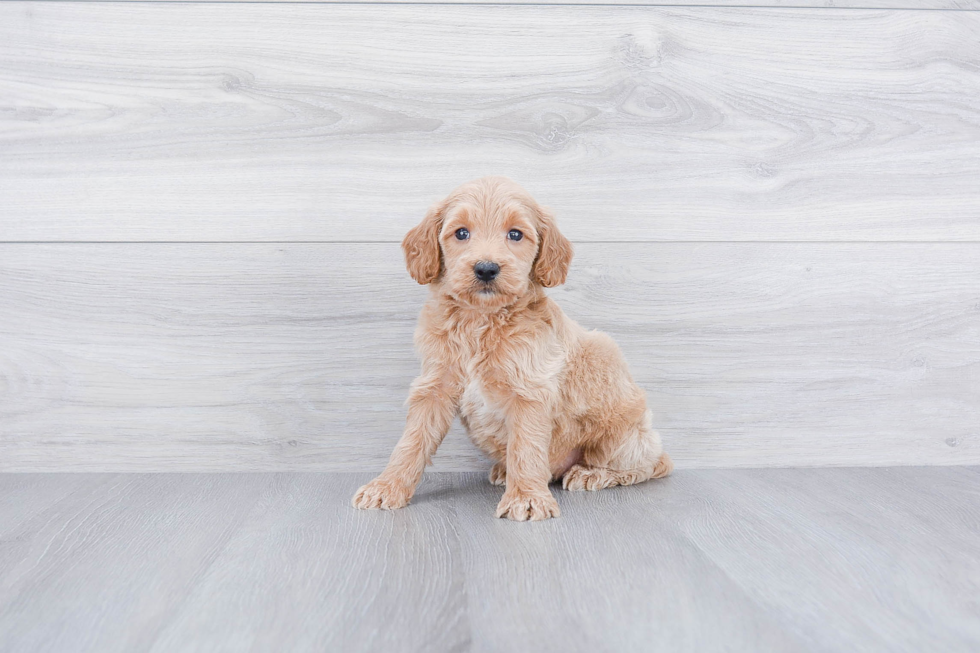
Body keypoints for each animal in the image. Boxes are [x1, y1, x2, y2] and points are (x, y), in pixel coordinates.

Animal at [354, 176, 672, 524]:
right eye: (461, 233)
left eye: (516, 234)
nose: (486, 269)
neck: (480, 320)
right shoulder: (434, 384)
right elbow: (412, 440)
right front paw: (386, 486)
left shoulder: (529, 391)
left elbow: (526, 447)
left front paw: (528, 499)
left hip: (620, 431)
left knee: (649, 465)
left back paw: (591, 473)